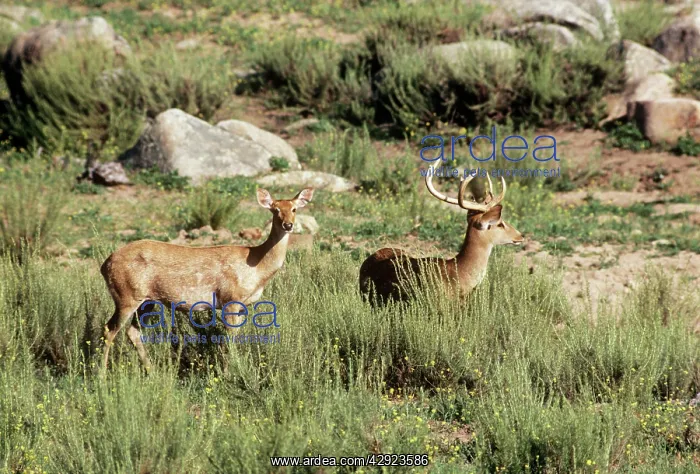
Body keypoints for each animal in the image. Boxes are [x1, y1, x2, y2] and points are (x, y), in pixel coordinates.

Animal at [100, 187, 314, 371]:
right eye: (275, 209)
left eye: (294, 209)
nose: (288, 225)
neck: (256, 266)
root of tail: (105, 265)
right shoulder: (230, 298)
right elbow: (229, 339)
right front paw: (229, 373)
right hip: (126, 295)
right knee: (109, 329)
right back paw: (101, 376)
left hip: (147, 300)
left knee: (132, 332)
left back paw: (151, 372)